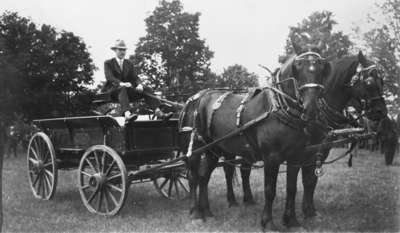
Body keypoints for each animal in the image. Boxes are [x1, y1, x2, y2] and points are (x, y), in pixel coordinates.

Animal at [180, 45, 330, 229]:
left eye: (322, 67)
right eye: (298, 66)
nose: (311, 108)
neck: (279, 108)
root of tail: (193, 98)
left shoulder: (296, 156)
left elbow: (292, 188)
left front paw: (292, 221)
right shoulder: (271, 157)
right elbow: (270, 190)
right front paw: (268, 223)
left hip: (213, 149)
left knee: (204, 176)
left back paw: (206, 211)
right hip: (195, 148)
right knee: (193, 177)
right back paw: (195, 213)